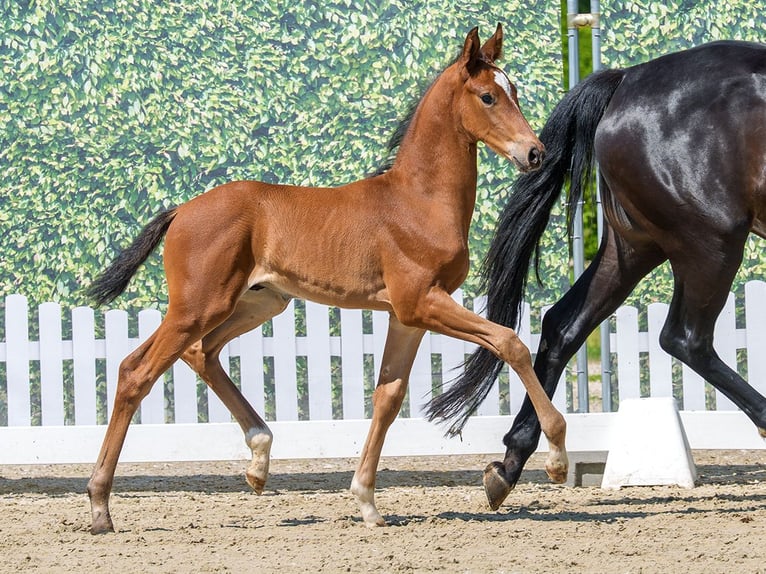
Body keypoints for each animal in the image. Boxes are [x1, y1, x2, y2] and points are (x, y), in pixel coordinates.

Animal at [85, 24, 569, 534]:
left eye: (514, 92)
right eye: (488, 96)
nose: (535, 153)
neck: (418, 200)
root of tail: (180, 211)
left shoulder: (407, 317)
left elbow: (388, 397)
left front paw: (367, 503)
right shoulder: (422, 302)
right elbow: (510, 342)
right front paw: (555, 457)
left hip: (254, 303)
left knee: (196, 354)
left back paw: (259, 461)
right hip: (198, 306)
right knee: (137, 373)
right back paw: (100, 507)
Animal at [425, 40, 766, 510]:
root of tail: (628, 79)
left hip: (636, 247)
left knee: (564, 324)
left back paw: (510, 466)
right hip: (712, 240)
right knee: (685, 338)